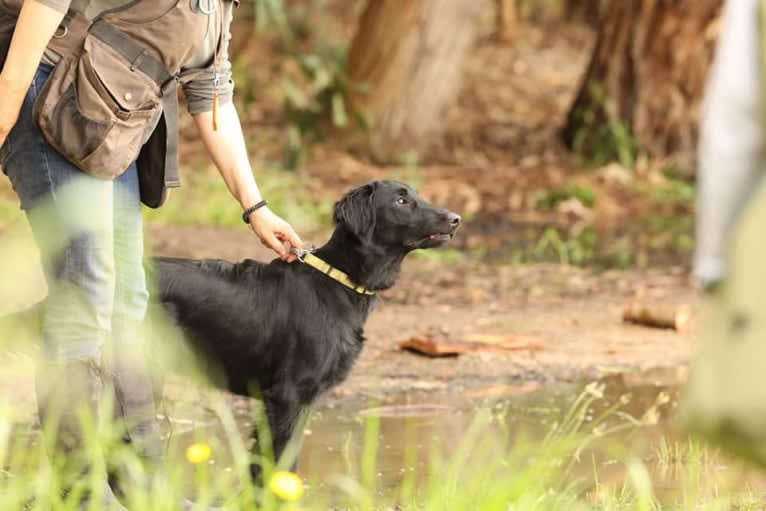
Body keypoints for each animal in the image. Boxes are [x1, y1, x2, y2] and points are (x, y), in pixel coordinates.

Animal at [153, 181, 460, 480]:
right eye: (401, 201)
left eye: (418, 195)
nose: (456, 218)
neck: (339, 280)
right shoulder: (287, 395)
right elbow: (279, 464)